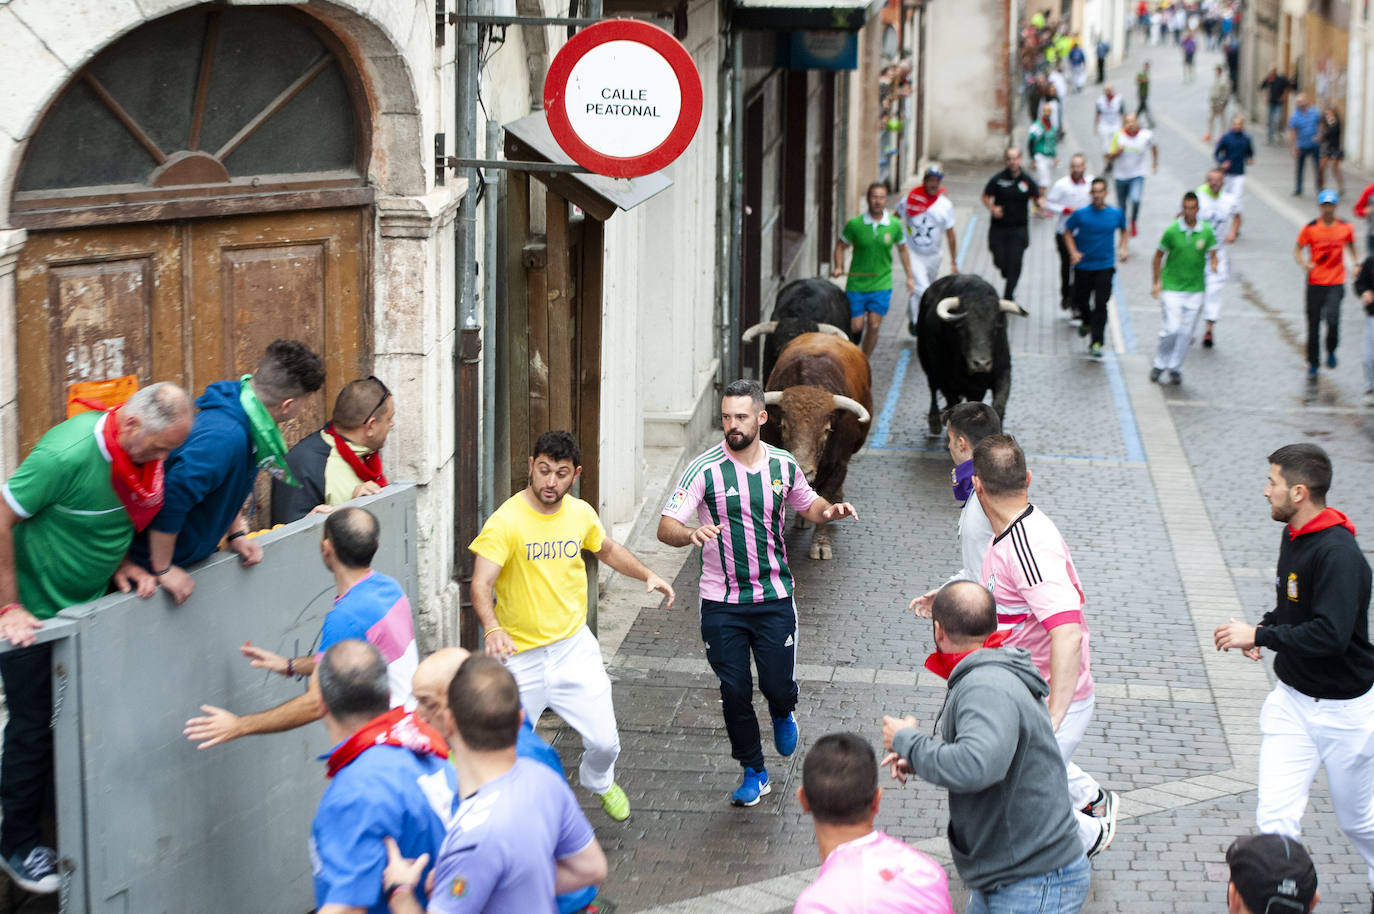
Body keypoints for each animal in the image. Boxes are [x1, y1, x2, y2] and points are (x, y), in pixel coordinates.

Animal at [763, 328, 868, 555]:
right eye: (783, 426)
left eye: (827, 430)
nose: (803, 470)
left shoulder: (839, 466)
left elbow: (826, 499)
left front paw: (821, 543)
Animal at [917, 270, 1027, 434]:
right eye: (961, 327)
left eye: (996, 327)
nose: (981, 363)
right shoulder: (946, 381)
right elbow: (953, 404)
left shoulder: (1003, 373)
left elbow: (998, 405)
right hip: (927, 363)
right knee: (932, 388)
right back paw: (934, 421)